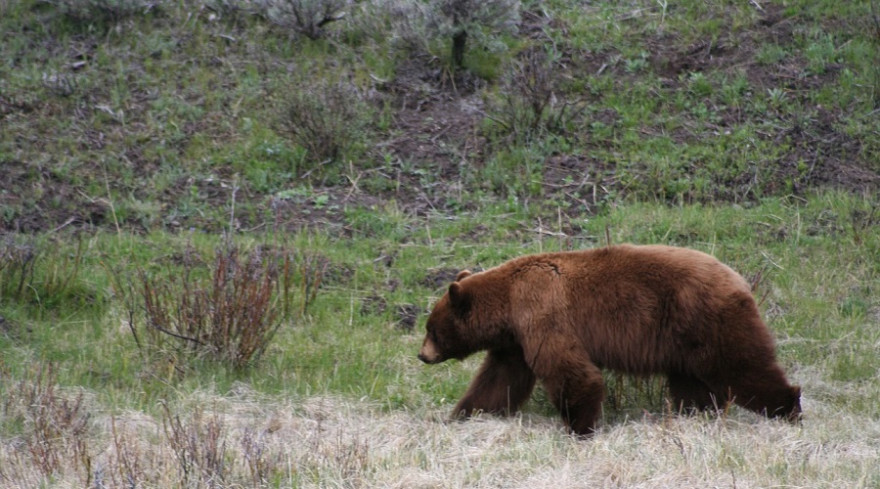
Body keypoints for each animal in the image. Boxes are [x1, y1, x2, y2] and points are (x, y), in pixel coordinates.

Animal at [416, 244, 800, 434]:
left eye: (431, 328)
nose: (422, 355)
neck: (509, 304)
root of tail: (739, 279)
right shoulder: (514, 343)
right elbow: (499, 381)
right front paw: (463, 415)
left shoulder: (542, 315)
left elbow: (570, 371)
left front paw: (580, 428)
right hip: (685, 342)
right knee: (692, 384)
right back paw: (695, 416)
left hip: (709, 321)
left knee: (742, 367)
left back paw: (789, 408)